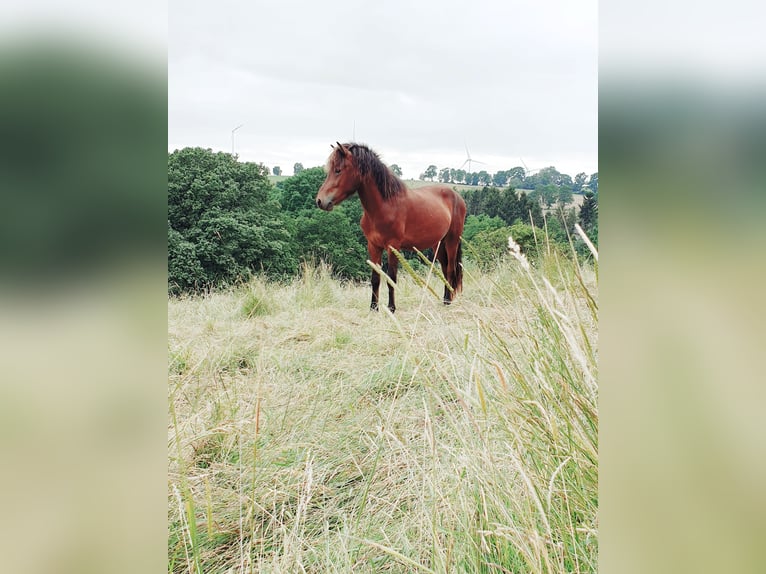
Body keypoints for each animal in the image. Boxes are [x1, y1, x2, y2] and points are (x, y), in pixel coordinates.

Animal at [314, 144, 468, 316]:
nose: (320, 201)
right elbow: (375, 278)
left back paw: (447, 301)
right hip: (438, 244)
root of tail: (457, 196)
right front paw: (373, 308)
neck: (385, 206)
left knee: (451, 269)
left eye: (338, 170)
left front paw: (391, 308)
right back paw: (445, 299)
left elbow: (391, 278)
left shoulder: (393, 247)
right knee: (445, 268)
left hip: (452, 241)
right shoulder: (373, 246)